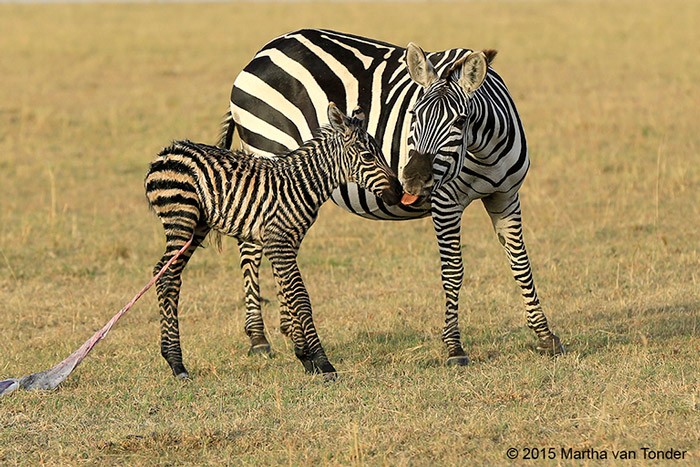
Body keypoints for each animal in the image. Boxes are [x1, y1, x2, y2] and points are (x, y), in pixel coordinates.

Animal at [145, 103, 402, 380]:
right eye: (367, 156)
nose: (399, 192)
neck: (302, 185)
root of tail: (167, 151)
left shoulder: (287, 242)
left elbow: (288, 292)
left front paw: (304, 357)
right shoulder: (279, 242)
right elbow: (300, 298)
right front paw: (323, 363)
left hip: (197, 226)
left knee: (166, 274)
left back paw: (172, 358)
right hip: (181, 218)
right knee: (167, 274)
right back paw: (176, 363)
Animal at [219, 29, 564, 366]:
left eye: (460, 121)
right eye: (413, 113)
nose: (411, 180)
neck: (484, 151)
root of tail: (266, 50)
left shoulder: (506, 196)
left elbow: (521, 263)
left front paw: (545, 336)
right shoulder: (446, 203)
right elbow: (453, 271)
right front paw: (454, 347)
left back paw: (288, 329)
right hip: (267, 151)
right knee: (251, 247)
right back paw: (258, 338)